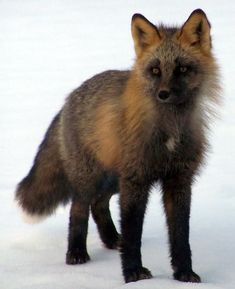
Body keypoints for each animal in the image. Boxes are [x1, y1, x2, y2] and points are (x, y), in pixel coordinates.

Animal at [14, 9, 220, 284]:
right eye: (155, 70)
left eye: (182, 68)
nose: (163, 94)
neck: (169, 130)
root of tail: (69, 97)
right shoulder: (135, 180)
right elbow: (133, 234)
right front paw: (133, 274)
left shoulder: (179, 180)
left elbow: (180, 236)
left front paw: (184, 273)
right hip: (91, 179)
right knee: (79, 209)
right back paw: (76, 253)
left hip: (112, 179)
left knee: (99, 205)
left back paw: (112, 239)